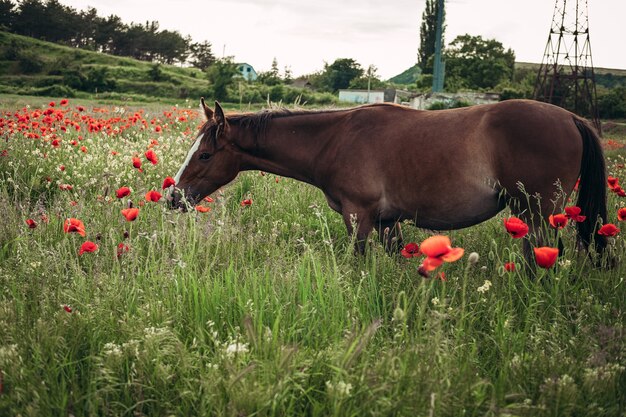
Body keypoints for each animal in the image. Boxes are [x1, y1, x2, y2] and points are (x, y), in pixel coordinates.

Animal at [168, 97, 608, 264]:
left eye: (205, 155)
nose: (173, 198)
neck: (336, 138)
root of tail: (571, 117)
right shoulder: (388, 223)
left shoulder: (359, 217)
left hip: (538, 213)